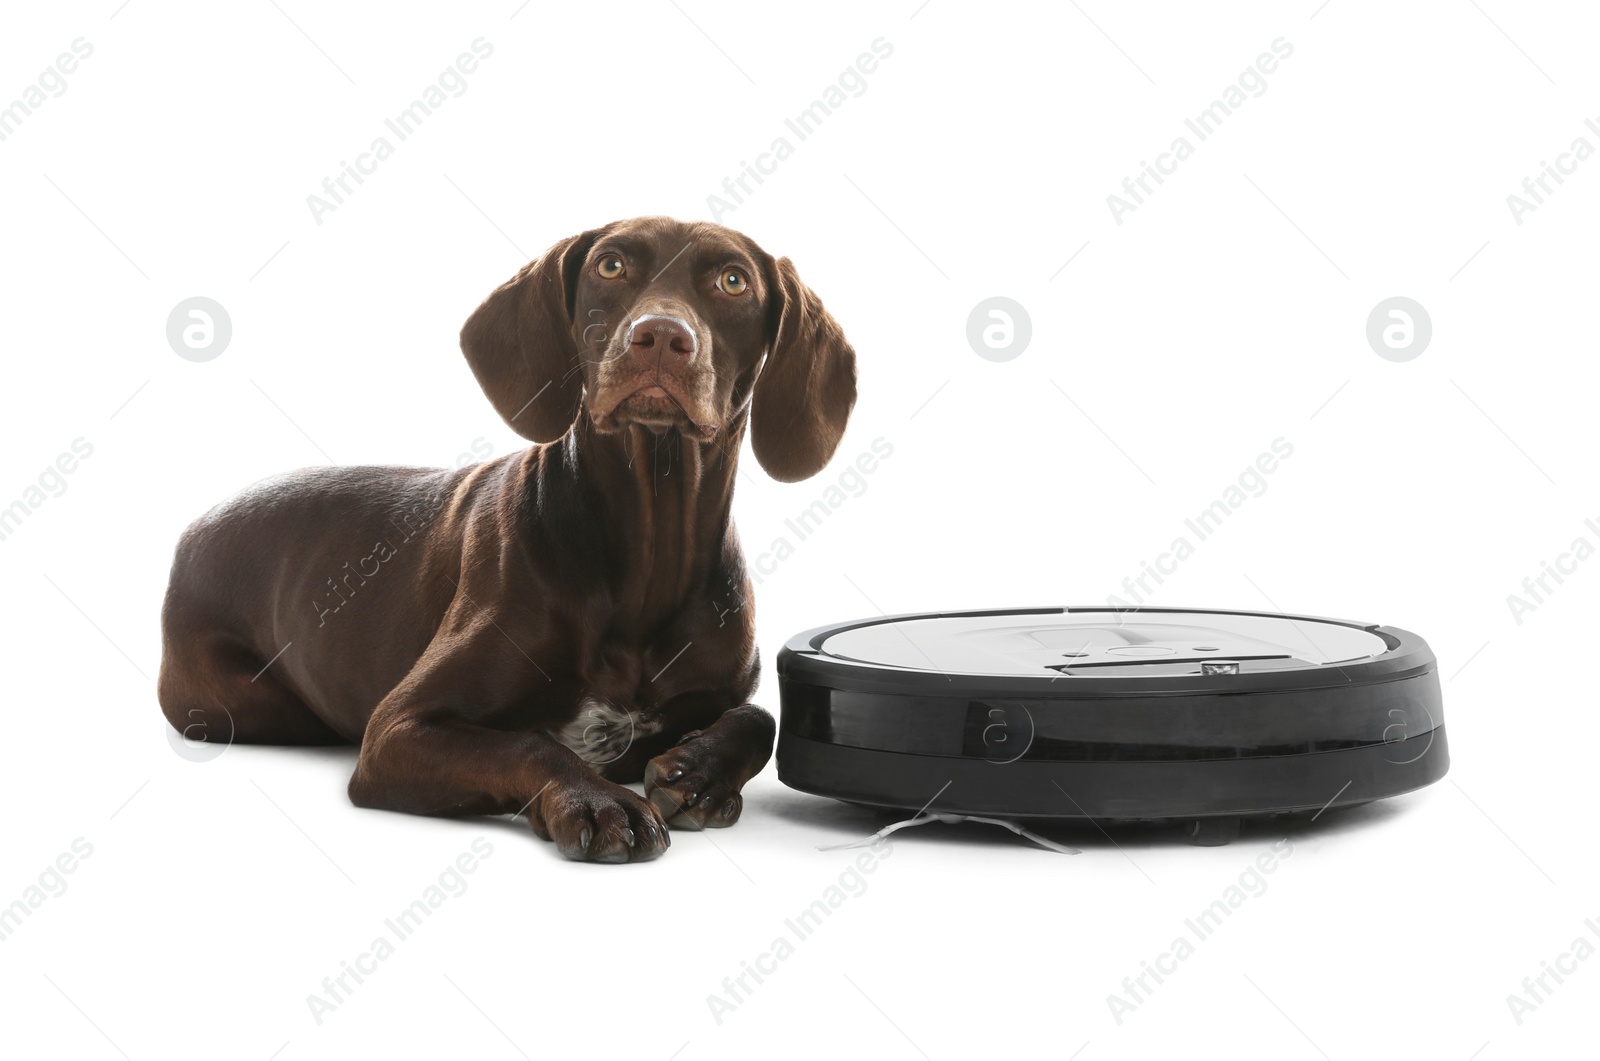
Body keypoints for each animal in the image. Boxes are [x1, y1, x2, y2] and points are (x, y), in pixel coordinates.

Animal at [160, 216, 857, 864]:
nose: (660, 336)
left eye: (733, 281)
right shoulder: (397, 728)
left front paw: (699, 772)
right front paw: (597, 800)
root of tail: (195, 527)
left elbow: (761, 717)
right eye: (610, 265)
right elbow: (529, 741)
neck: (647, 552)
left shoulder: (719, 694)